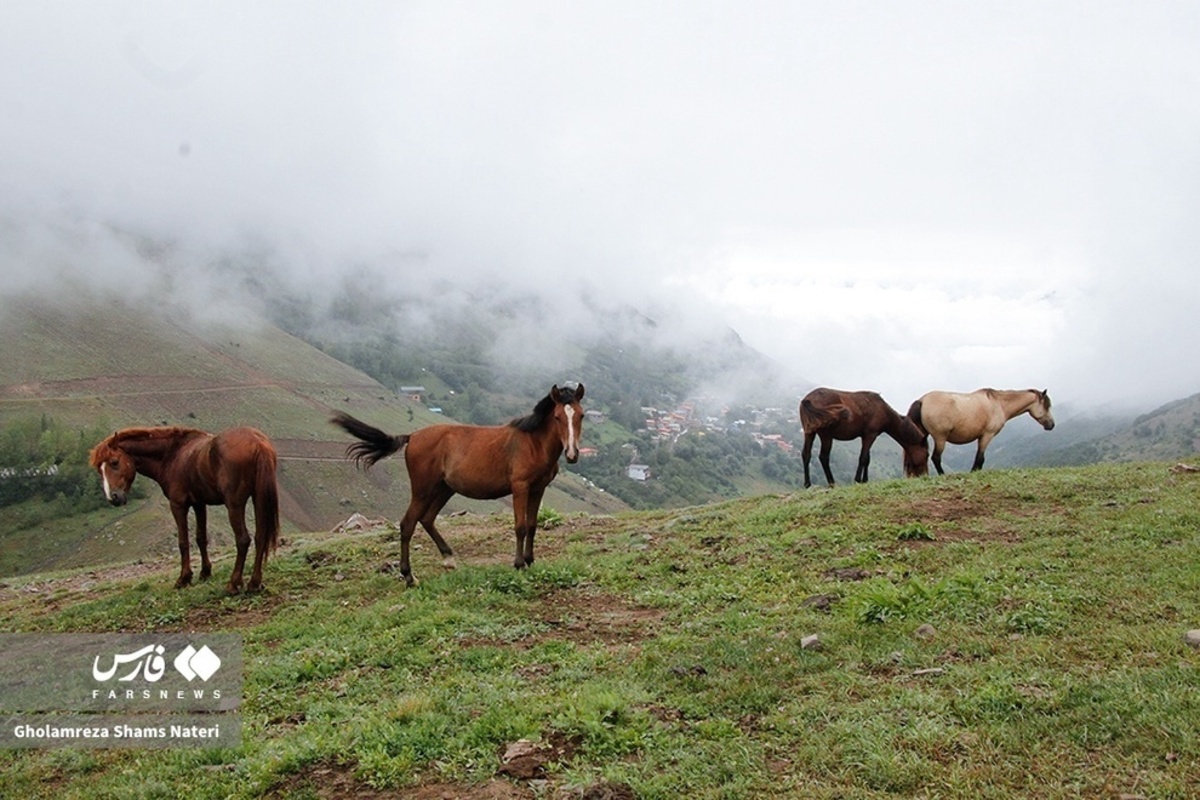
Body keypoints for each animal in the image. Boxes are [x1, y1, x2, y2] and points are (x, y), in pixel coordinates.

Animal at [88, 424, 280, 594]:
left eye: (114, 462)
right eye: (99, 469)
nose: (113, 498)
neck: (173, 454)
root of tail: (258, 443)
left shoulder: (178, 505)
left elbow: (183, 541)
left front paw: (184, 578)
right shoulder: (199, 504)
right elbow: (201, 538)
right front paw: (205, 572)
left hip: (234, 505)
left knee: (243, 540)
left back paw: (233, 584)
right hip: (258, 499)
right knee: (260, 537)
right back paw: (254, 583)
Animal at [333, 383, 585, 585]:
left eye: (581, 416)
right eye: (557, 417)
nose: (572, 454)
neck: (533, 443)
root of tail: (412, 436)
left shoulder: (538, 489)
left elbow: (532, 525)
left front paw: (530, 561)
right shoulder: (520, 488)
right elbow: (521, 526)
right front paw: (519, 564)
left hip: (445, 489)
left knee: (427, 519)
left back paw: (449, 557)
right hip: (423, 490)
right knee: (407, 524)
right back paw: (409, 576)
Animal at [801, 388, 931, 489]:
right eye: (926, 455)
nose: (925, 475)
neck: (883, 410)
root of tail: (807, 400)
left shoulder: (866, 436)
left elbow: (867, 459)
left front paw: (865, 480)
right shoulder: (870, 435)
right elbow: (863, 458)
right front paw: (858, 480)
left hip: (809, 433)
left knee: (806, 455)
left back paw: (807, 484)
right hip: (826, 436)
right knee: (823, 457)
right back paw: (831, 483)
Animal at [902, 388, 1056, 474]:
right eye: (1047, 406)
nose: (1051, 425)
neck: (999, 404)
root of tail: (922, 400)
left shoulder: (981, 436)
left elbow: (979, 457)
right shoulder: (987, 435)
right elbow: (980, 458)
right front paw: (974, 472)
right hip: (940, 438)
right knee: (936, 458)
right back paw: (942, 474)